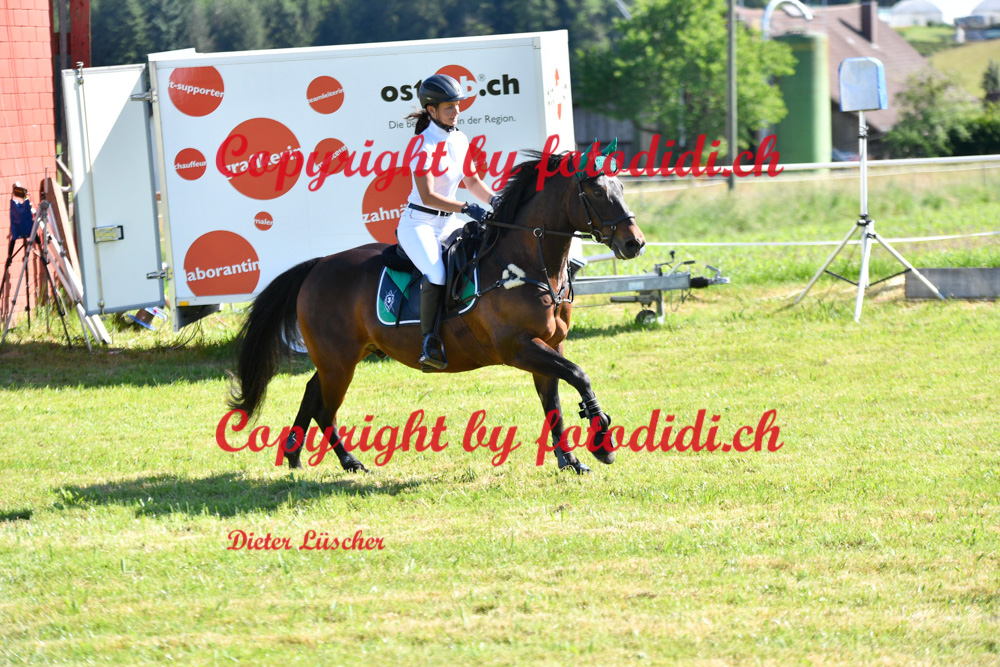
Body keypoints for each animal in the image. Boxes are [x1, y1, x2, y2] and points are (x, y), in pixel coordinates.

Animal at [228, 150, 646, 474]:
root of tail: (317, 265)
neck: (525, 264)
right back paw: (340, 460)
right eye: (596, 190)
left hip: (344, 357)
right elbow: (579, 376)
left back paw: (300, 456)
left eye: (622, 188)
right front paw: (602, 442)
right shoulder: (518, 348)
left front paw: (569, 459)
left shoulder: (548, 346)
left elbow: (554, 402)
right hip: (339, 361)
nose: (635, 244)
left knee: (312, 394)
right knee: (324, 406)